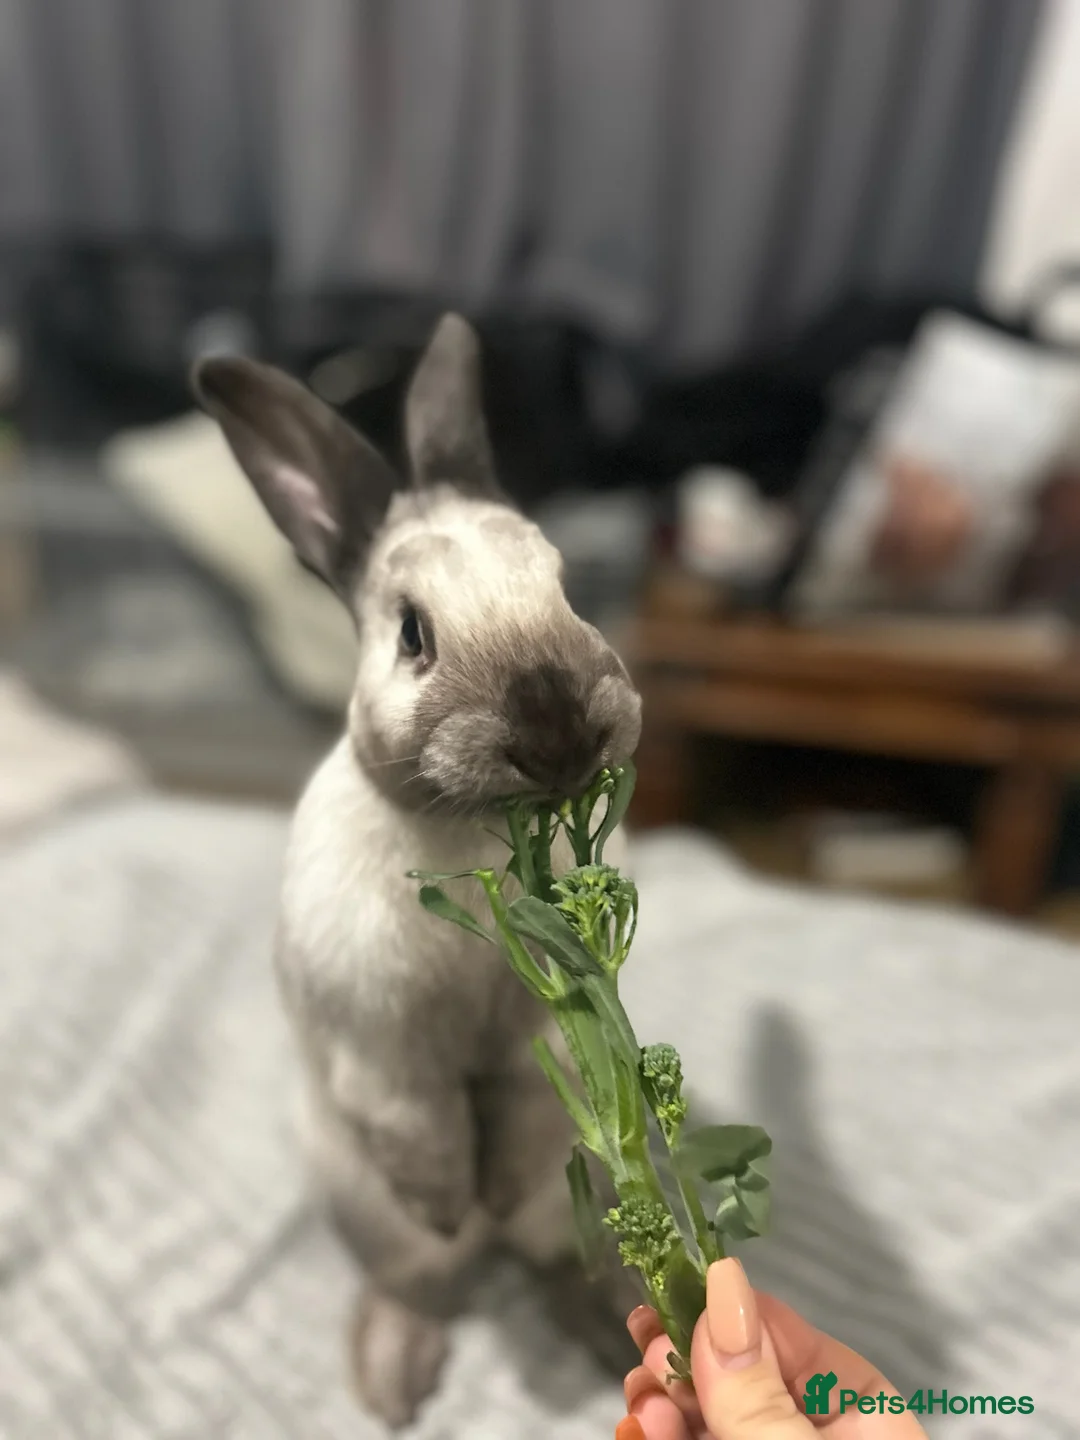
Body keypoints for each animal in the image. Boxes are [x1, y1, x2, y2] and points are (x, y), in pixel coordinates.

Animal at [192, 313, 644, 1428]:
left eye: (565, 586)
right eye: (410, 633)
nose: (558, 728)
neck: (468, 835)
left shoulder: (543, 1040)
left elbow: (521, 1106)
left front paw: (492, 1183)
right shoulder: (381, 1053)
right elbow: (427, 1126)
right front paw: (451, 1200)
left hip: (566, 1200)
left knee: (548, 1254)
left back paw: (608, 1318)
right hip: (362, 1202)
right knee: (426, 1278)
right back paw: (394, 1374)